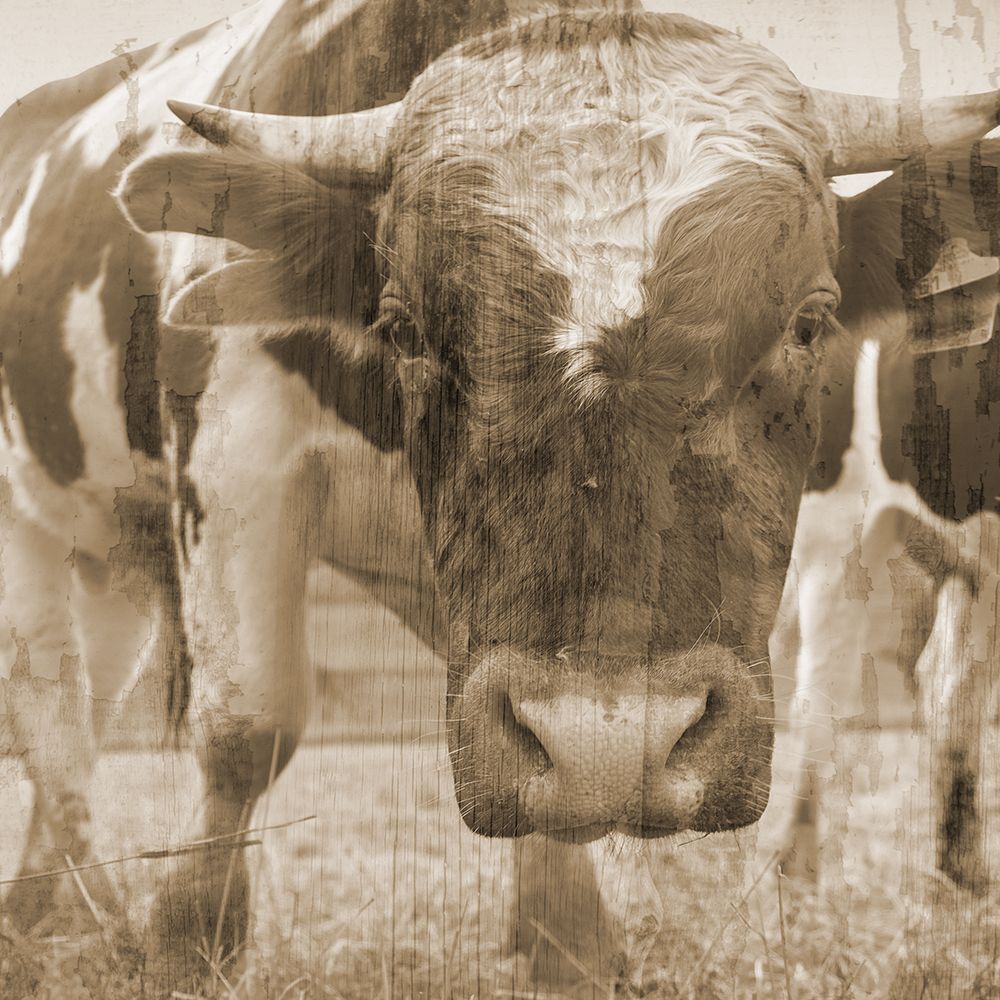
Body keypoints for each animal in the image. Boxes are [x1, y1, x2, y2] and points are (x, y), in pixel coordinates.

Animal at [2, 0, 1000, 989]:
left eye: (809, 322)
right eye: (402, 324)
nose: (613, 747)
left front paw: (567, 942)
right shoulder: (233, 452)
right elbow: (249, 725)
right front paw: (186, 939)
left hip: (115, 559)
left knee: (90, 698)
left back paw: (46, 899)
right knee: (48, 701)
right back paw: (93, 911)